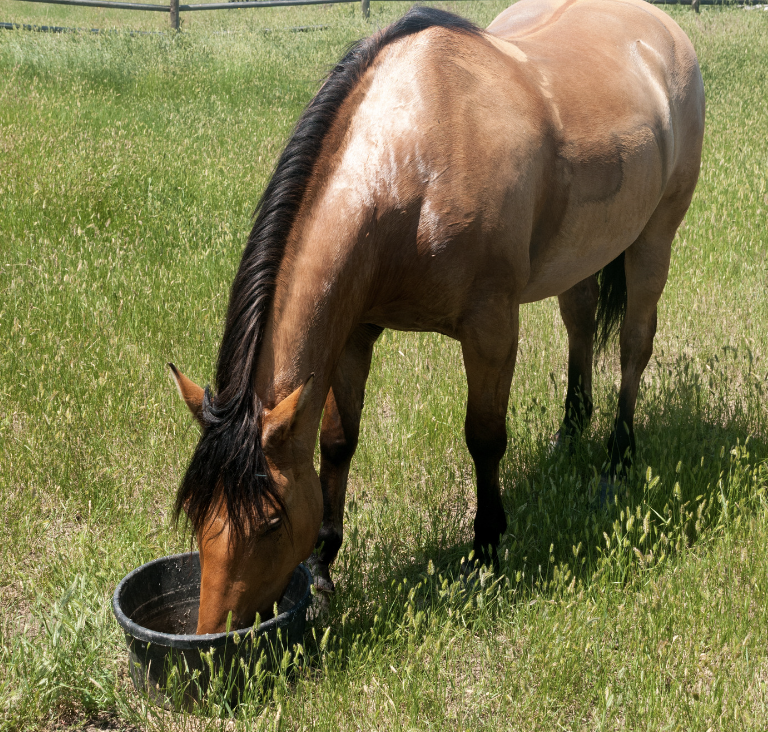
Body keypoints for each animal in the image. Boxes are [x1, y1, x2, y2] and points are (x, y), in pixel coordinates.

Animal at [168, 0, 704, 636]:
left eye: (271, 522)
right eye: (198, 515)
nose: (214, 637)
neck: (409, 166)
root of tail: (662, 31)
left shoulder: (491, 326)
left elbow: (485, 438)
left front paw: (486, 551)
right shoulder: (355, 333)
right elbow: (338, 442)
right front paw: (323, 567)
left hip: (655, 238)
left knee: (633, 346)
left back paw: (617, 459)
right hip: (581, 255)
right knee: (580, 321)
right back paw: (569, 435)